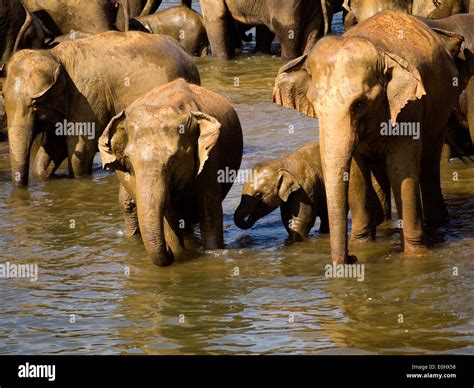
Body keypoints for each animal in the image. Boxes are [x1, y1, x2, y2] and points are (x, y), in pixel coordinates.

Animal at [1, 31, 199, 186]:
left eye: (35, 104)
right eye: (3, 97)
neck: (55, 56)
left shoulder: (87, 98)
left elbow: (79, 152)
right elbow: (52, 148)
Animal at [97, 79, 243, 266]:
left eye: (174, 160)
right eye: (129, 162)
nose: (168, 253)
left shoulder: (211, 157)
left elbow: (209, 209)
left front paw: (212, 253)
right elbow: (168, 217)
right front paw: (177, 250)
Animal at [274, 11, 462, 264]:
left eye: (359, 104)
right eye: (314, 105)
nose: (351, 258)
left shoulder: (410, 107)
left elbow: (400, 169)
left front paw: (415, 255)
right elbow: (355, 172)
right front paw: (362, 245)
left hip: (442, 106)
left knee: (428, 164)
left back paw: (436, 224)